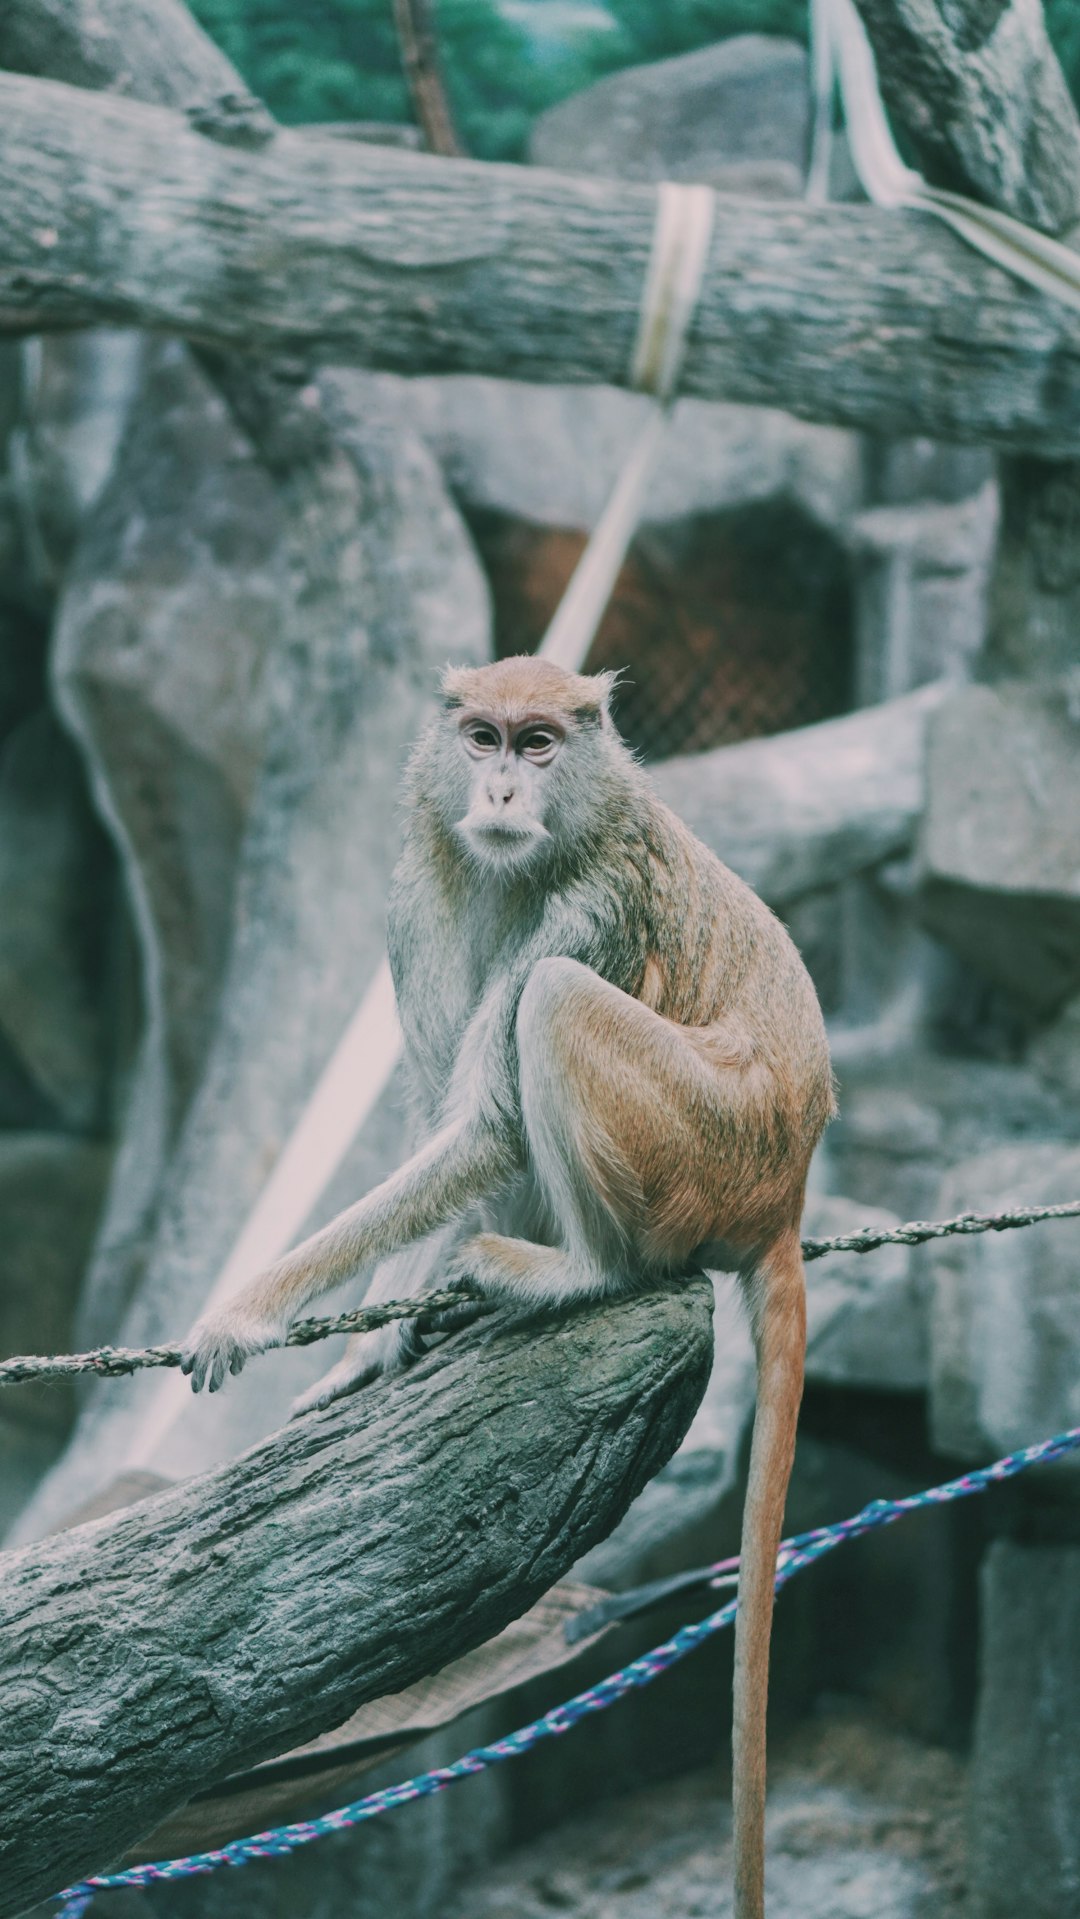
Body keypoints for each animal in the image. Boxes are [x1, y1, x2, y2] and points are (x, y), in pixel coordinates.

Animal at [181, 660, 836, 1919]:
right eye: (481, 736)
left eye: (539, 746)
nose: (495, 786)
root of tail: (784, 1189)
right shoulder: (418, 890)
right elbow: (440, 1105)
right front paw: (362, 1353)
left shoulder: (595, 902)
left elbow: (483, 1118)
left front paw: (241, 1312)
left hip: (704, 1139)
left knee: (560, 1006)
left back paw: (582, 1271)